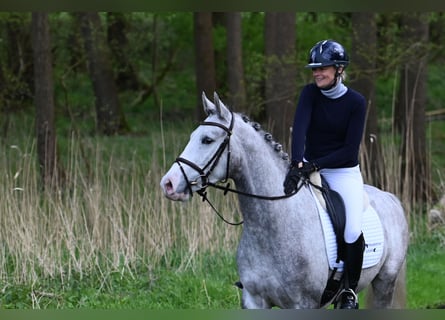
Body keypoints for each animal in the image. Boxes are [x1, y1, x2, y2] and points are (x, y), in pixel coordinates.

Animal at [160, 92, 410, 308]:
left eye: (207, 140)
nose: (168, 184)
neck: (274, 225)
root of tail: (390, 198)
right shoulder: (254, 300)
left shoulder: (303, 304)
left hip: (385, 283)